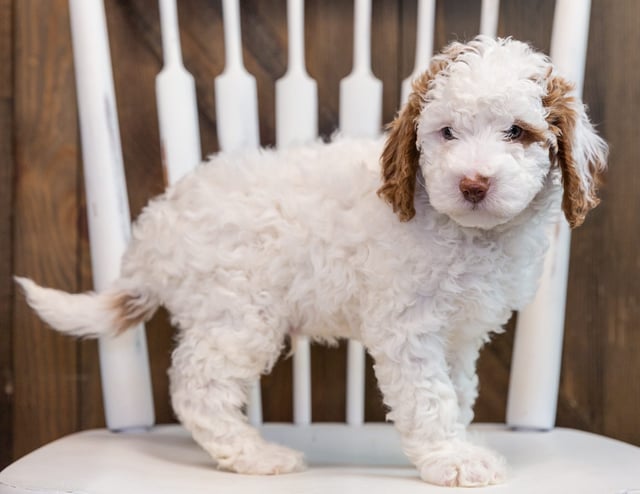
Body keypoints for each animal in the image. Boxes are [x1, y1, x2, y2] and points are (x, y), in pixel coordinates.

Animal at [15, 37, 604, 486]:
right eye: (447, 133)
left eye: (518, 131)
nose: (473, 184)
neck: (469, 234)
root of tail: (154, 227)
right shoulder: (408, 328)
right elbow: (430, 398)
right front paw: (453, 460)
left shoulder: (458, 335)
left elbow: (457, 393)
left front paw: (456, 446)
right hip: (237, 314)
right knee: (198, 388)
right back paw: (256, 456)